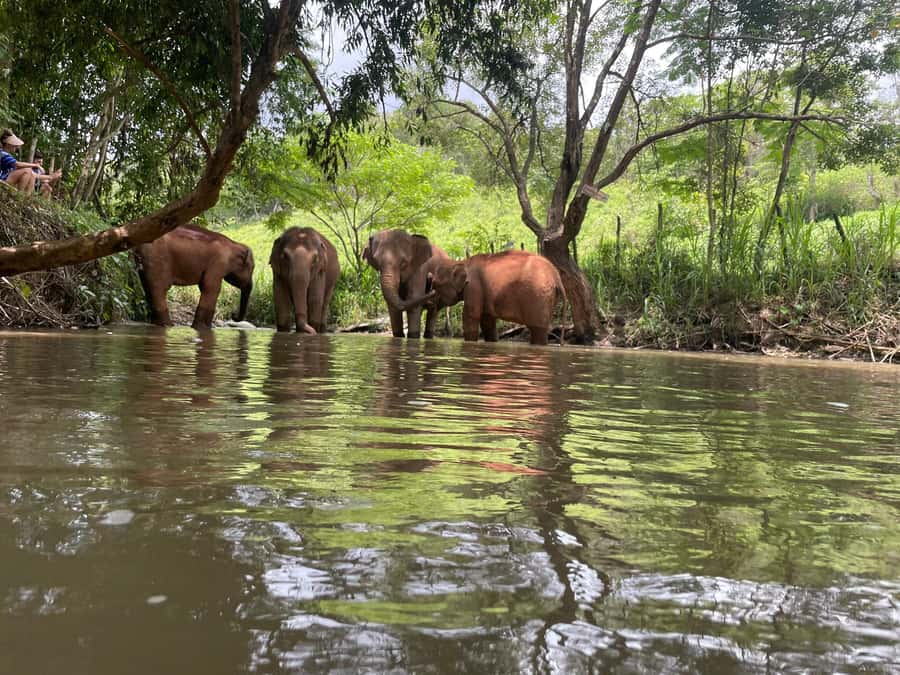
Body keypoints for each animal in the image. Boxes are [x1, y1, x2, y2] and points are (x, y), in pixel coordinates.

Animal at [409, 250, 565, 345]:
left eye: (436, 284)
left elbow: (471, 316)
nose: (430, 301)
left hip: (539, 297)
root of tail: (556, 276)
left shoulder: (474, 287)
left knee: (538, 329)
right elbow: (487, 321)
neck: (463, 262)